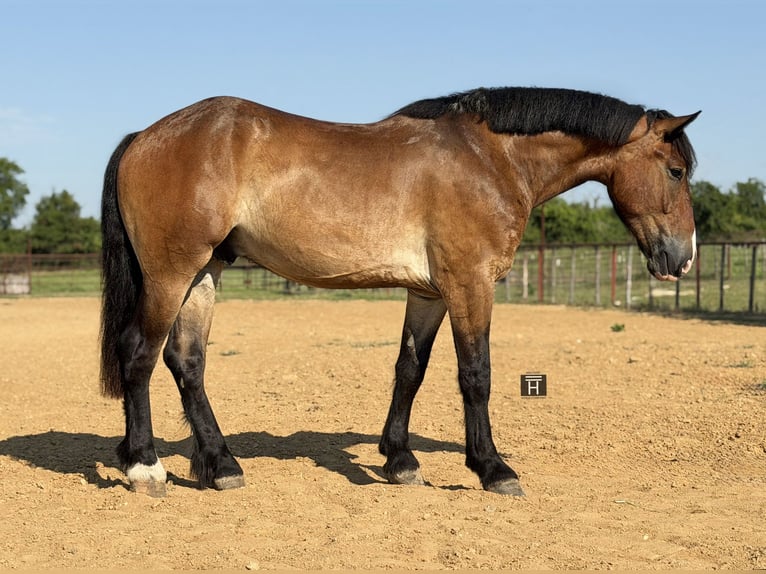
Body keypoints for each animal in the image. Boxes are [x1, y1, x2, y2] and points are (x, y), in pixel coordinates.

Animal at [100, 87, 699, 497]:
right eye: (675, 170)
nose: (683, 257)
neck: (490, 158)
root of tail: (142, 137)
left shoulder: (429, 292)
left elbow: (410, 368)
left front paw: (400, 460)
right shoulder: (470, 284)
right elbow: (476, 375)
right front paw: (492, 468)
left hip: (205, 273)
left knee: (187, 361)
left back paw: (220, 464)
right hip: (172, 274)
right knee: (140, 355)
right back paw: (144, 465)